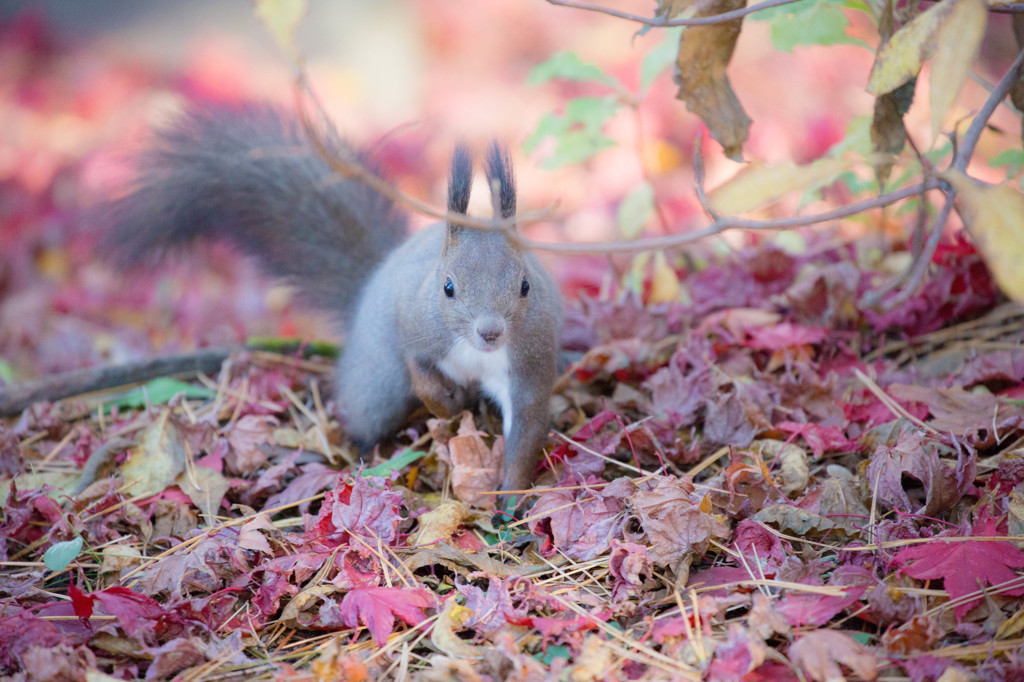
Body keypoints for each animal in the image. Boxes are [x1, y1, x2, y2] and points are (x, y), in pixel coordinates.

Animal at [100, 106, 565, 497]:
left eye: (525, 286)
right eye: (448, 287)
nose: (490, 332)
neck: (477, 355)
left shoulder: (528, 364)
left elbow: (526, 427)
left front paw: (510, 498)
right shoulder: (414, 323)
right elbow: (419, 367)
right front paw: (444, 402)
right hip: (377, 386)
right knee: (370, 412)